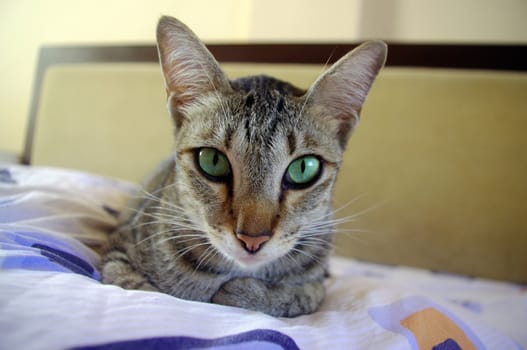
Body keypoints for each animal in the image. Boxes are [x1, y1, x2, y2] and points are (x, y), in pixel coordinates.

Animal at [101, 15, 386, 318]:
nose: (252, 240)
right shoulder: (117, 256)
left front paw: (247, 293)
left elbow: (304, 294)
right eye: (212, 161)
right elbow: (148, 292)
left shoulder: (317, 284)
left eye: (304, 168)